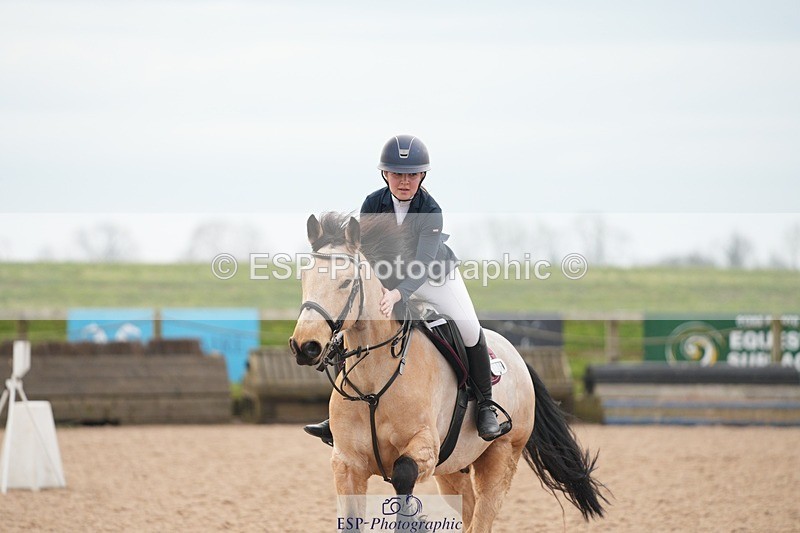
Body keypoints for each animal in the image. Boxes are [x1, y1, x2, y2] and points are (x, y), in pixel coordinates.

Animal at [289, 212, 607, 532]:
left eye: (345, 283)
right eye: (304, 277)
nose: (306, 346)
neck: (373, 384)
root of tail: (517, 356)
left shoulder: (424, 449)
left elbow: (403, 475)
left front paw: (413, 519)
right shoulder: (348, 463)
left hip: (502, 453)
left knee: (483, 515)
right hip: (453, 468)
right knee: (468, 507)